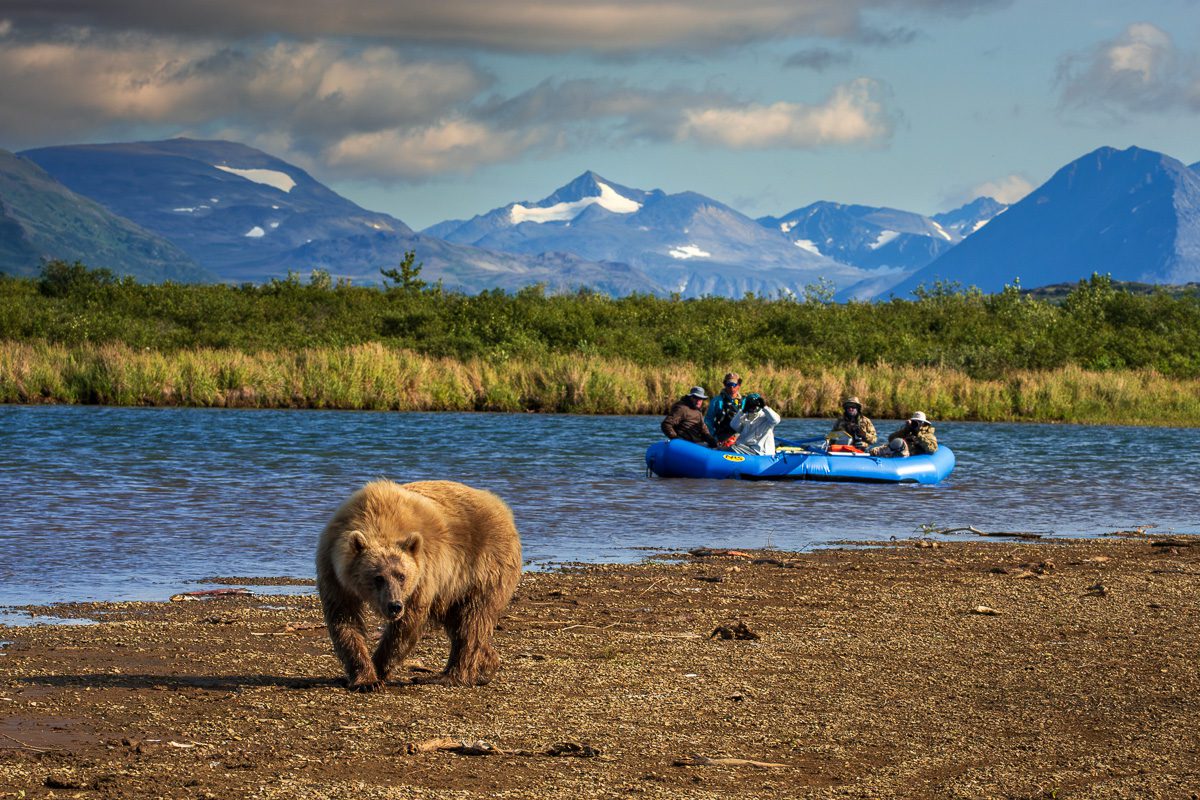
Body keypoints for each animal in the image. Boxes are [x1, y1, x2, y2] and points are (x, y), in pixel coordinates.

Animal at [316, 479, 522, 692]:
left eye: (401, 576)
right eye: (378, 578)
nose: (394, 606)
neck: (378, 518)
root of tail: (502, 508)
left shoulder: (423, 574)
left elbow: (406, 625)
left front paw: (378, 669)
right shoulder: (333, 573)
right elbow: (344, 619)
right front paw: (365, 678)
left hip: (483, 566)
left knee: (472, 621)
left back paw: (450, 676)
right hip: (451, 590)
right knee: (460, 622)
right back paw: (487, 665)